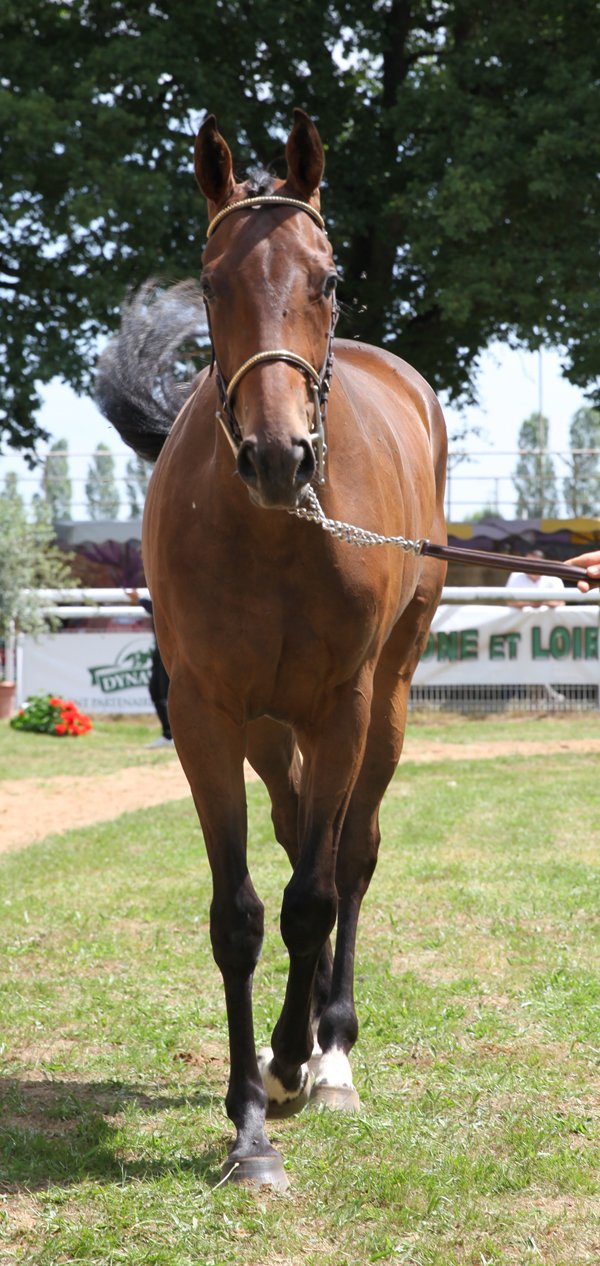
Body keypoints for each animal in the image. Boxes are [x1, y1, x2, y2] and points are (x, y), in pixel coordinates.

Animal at [96, 108, 448, 1190]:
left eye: (326, 278)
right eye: (211, 283)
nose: (277, 455)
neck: (278, 532)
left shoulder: (341, 708)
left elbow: (315, 896)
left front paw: (305, 1060)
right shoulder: (211, 716)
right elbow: (244, 914)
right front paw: (250, 1120)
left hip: (385, 706)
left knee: (350, 859)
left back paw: (330, 1046)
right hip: (266, 728)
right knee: (302, 840)